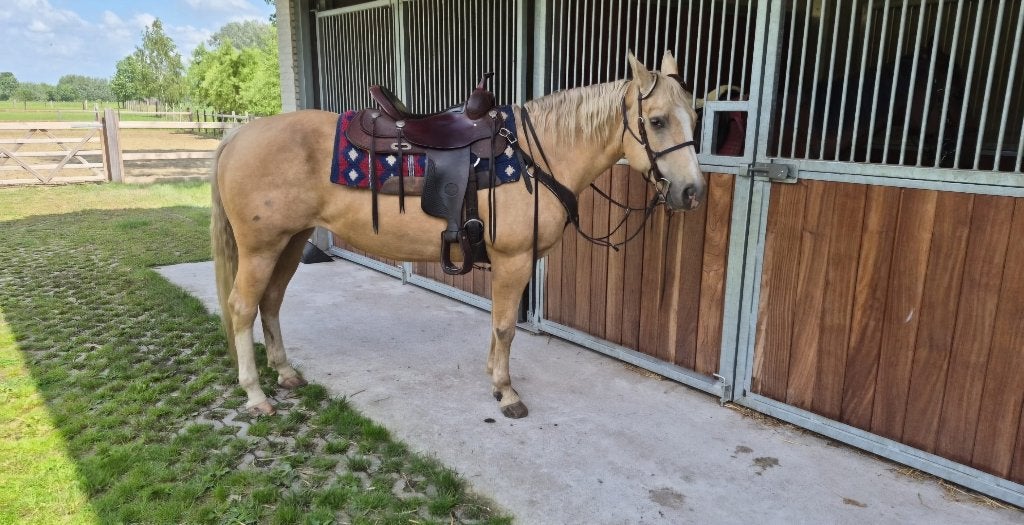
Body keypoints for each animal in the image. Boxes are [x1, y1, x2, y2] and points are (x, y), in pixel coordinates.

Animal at [210, 51, 705, 419]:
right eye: (657, 121)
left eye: (696, 118)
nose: (692, 191)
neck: (535, 156)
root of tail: (237, 134)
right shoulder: (513, 260)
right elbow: (505, 326)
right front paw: (507, 393)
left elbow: (497, 326)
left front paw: (494, 379)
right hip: (261, 248)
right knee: (242, 308)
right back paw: (256, 395)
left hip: (291, 241)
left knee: (271, 302)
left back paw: (285, 372)